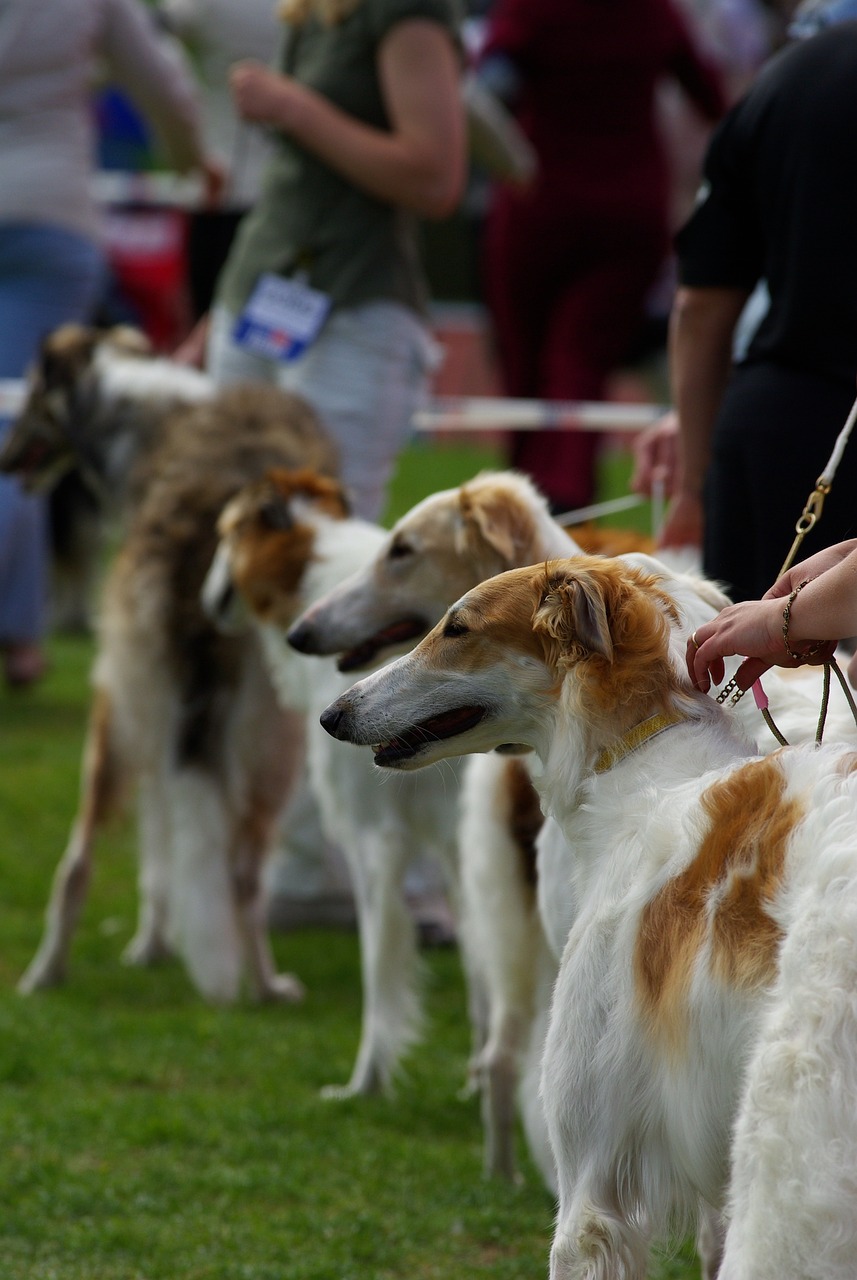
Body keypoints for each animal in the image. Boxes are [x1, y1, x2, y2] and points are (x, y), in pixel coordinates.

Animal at [10, 325, 340, 1003]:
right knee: (242, 873)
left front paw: (151, 945)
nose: (4, 461)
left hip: (121, 711)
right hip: (269, 738)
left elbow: (159, 849)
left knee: (78, 859)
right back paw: (265, 985)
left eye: (29, 395)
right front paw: (158, 943)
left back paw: (45, 974)